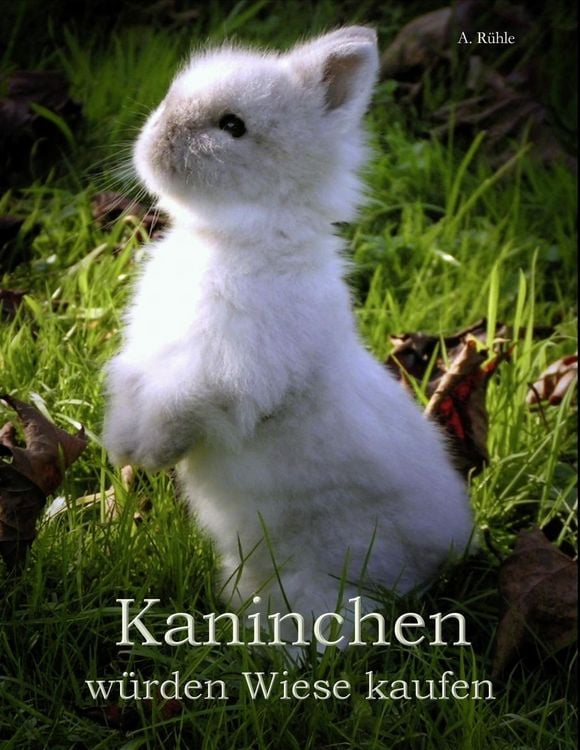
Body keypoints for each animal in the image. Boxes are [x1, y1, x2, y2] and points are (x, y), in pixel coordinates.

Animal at [103, 26, 475, 645]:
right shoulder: (147, 364)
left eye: (233, 126)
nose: (156, 137)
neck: (238, 237)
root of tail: (447, 552)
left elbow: (181, 412)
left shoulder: (224, 376)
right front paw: (119, 447)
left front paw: (147, 455)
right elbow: (134, 397)